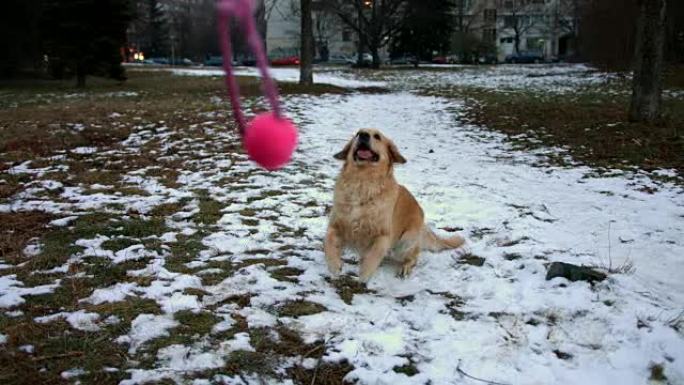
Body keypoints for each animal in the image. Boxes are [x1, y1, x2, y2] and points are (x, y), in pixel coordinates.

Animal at [324, 127, 464, 280]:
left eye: (377, 136)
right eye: (357, 133)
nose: (363, 135)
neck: (362, 183)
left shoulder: (384, 235)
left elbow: (374, 255)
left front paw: (364, 273)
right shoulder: (335, 225)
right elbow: (328, 242)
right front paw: (334, 266)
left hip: (405, 241)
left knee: (414, 256)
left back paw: (405, 267)